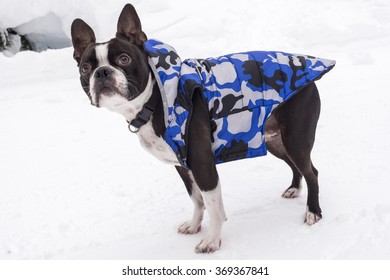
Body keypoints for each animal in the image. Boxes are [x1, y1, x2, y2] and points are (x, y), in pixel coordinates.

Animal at [71, 3, 336, 253]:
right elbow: (197, 199)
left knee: (311, 171)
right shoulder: (183, 165)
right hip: (272, 140)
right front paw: (194, 225)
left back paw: (313, 211)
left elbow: (213, 205)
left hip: (295, 138)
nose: (102, 72)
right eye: (85, 68)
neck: (154, 101)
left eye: (124, 59)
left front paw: (211, 241)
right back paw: (294, 189)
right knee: (296, 166)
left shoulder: (202, 163)